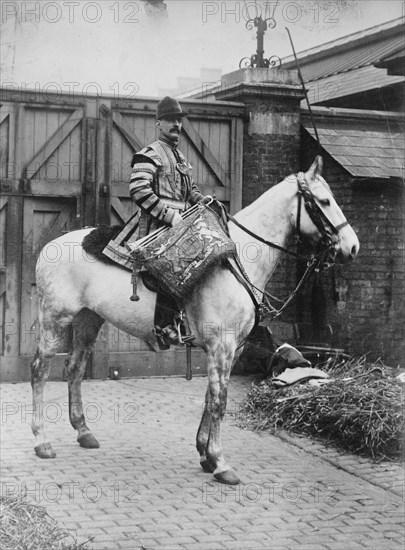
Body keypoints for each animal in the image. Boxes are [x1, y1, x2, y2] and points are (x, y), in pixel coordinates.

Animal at [30, 156, 356, 488]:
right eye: (325, 201)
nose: (352, 246)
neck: (237, 259)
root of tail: (49, 247)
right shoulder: (222, 345)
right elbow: (220, 400)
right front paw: (221, 462)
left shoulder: (231, 348)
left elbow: (211, 396)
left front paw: (205, 454)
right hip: (55, 318)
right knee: (40, 370)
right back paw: (42, 441)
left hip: (88, 320)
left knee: (74, 368)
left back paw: (84, 432)